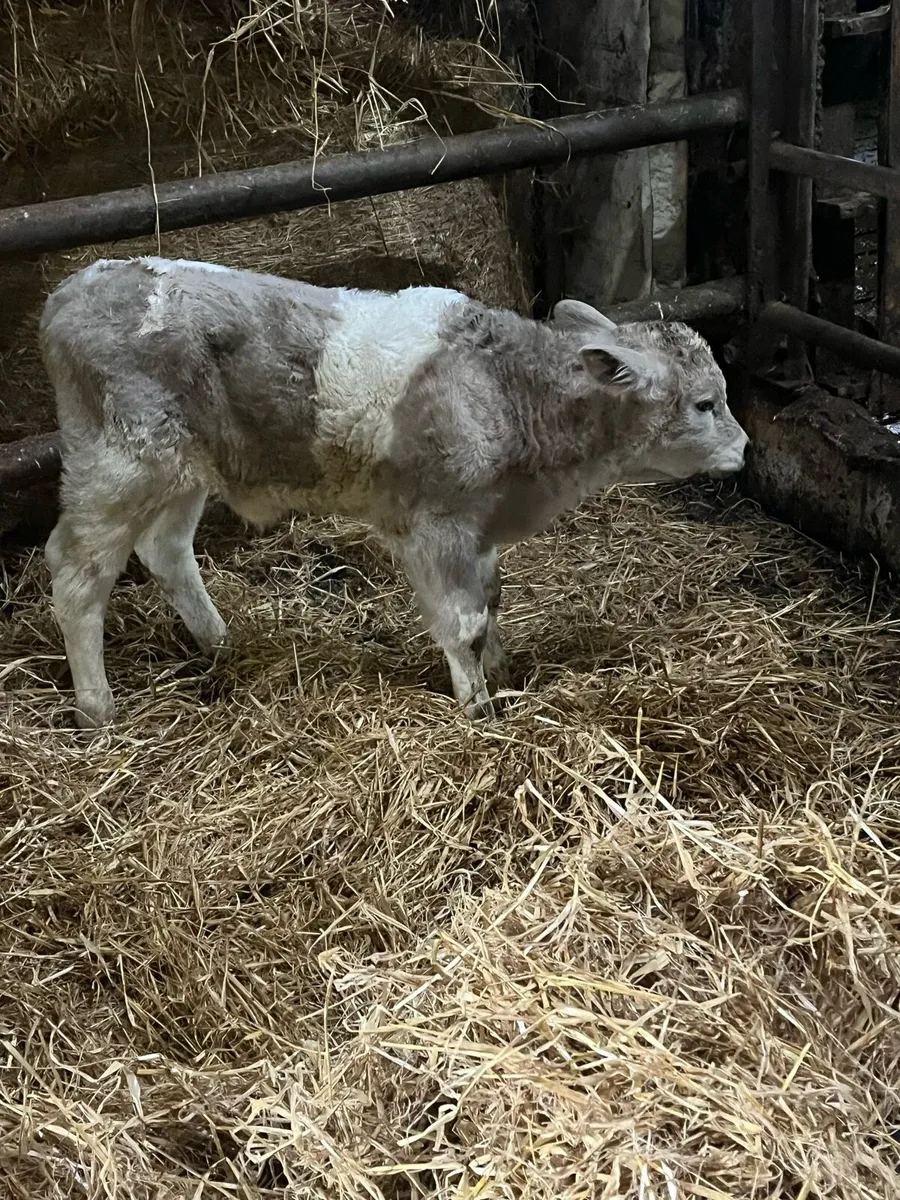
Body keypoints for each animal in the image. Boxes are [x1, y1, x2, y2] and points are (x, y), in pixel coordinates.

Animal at [39, 256, 748, 729]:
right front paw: (479, 708)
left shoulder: (479, 528)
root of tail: (76, 287)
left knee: (166, 551)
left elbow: (491, 602)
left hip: (184, 469)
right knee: (76, 574)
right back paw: (97, 708)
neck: (504, 391)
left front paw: (504, 674)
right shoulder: (435, 524)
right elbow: (463, 623)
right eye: (704, 403)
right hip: (120, 463)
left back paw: (220, 644)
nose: (743, 449)